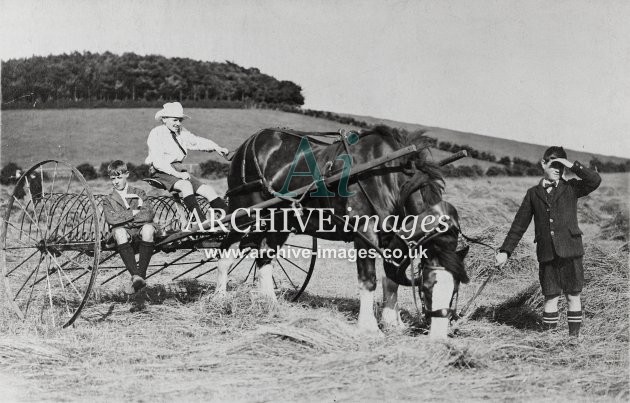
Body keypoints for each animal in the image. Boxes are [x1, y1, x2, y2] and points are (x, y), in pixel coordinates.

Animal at [217, 126, 470, 338]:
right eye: (427, 288)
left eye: (455, 289)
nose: (438, 337)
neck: (387, 175)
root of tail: (251, 142)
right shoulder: (364, 232)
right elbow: (369, 280)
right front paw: (369, 327)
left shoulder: (396, 238)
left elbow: (391, 279)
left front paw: (392, 322)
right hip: (243, 212)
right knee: (226, 252)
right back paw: (220, 298)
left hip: (280, 220)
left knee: (264, 257)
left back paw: (269, 303)